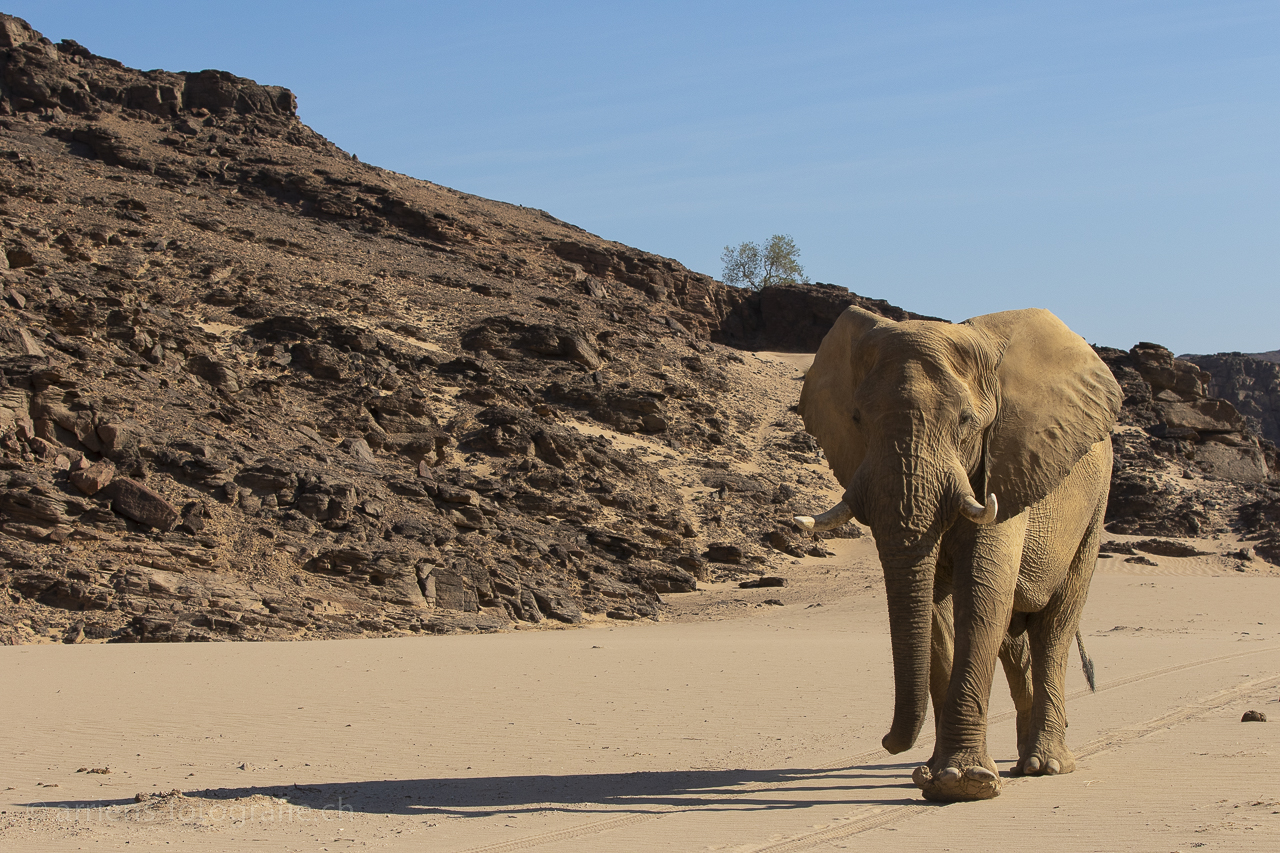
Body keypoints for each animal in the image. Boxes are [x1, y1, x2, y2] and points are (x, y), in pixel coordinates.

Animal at [793, 303, 1116, 799]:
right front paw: (940, 778)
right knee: (1014, 639)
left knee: (1053, 628)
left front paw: (964, 783)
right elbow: (937, 610)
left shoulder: (1005, 461)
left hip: (1094, 507)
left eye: (965, 421)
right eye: (857, 419)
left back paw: (1048, 764)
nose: (888, 742)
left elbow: (981, 593)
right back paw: (1023, 763)